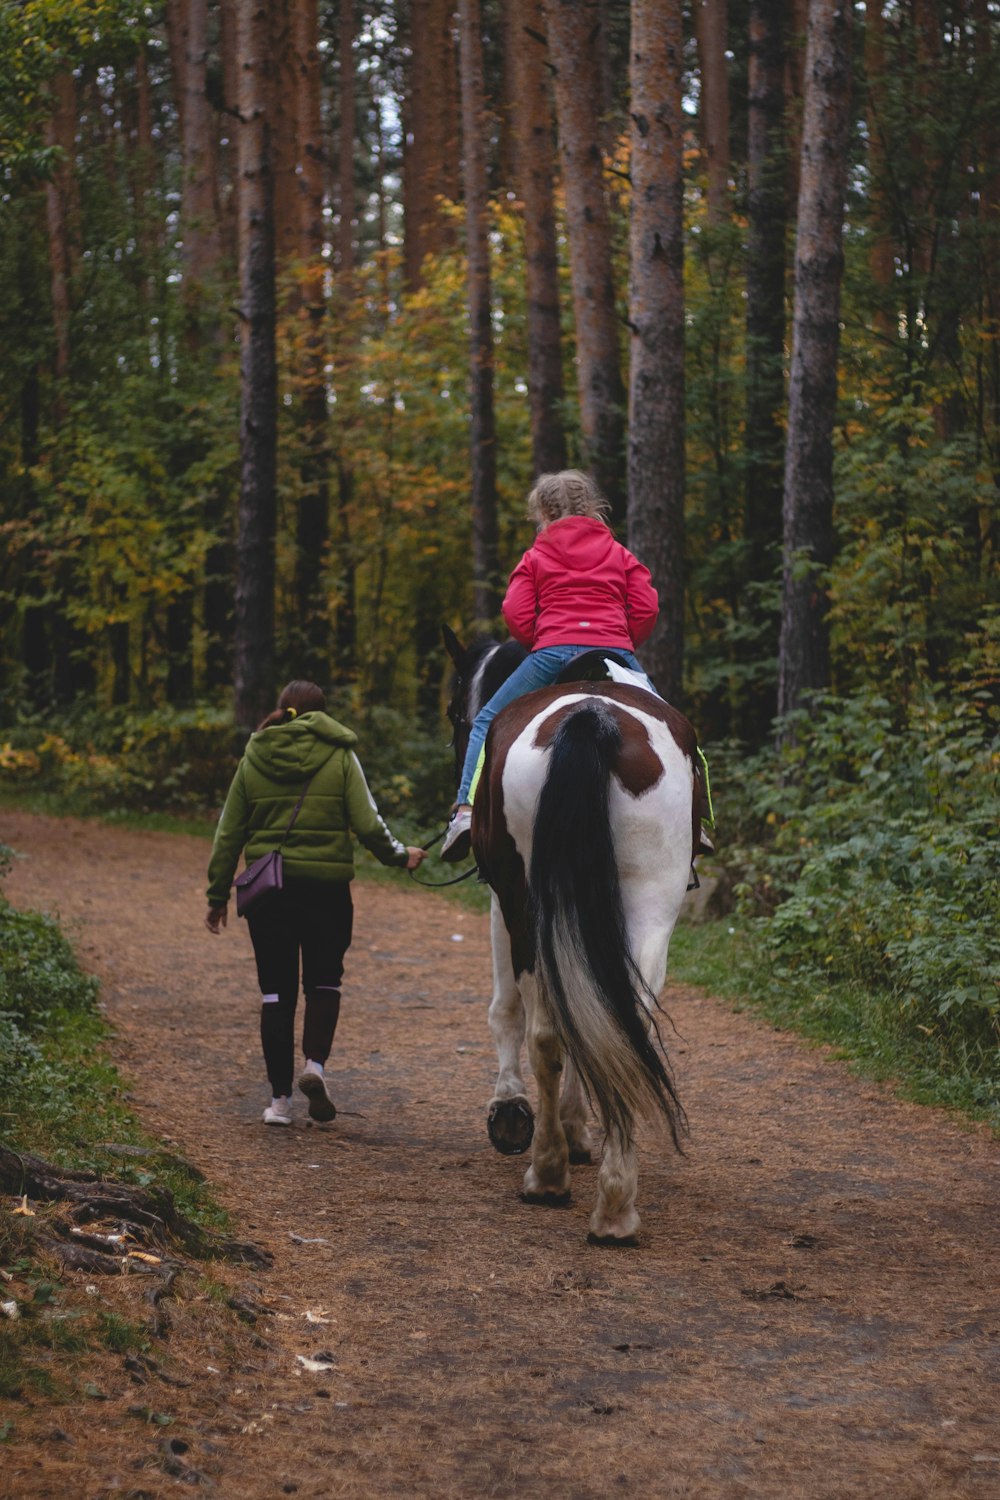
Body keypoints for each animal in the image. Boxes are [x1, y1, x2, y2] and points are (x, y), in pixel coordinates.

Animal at [446, 624, 704, 1242]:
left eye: (455, 710)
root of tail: (593, 717)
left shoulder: (500, 900)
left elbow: (507, 1010)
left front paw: (513, 1112)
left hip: (527, 905)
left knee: (546, 1030)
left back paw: (547, 1173)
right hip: (651, 902)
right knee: (624, 1024)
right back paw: (615, 1207)